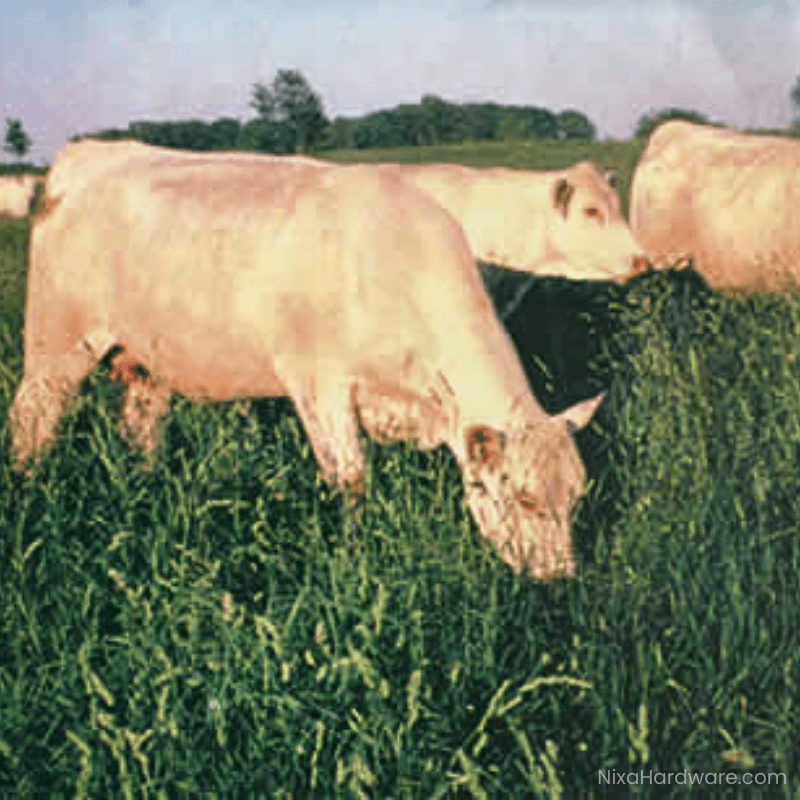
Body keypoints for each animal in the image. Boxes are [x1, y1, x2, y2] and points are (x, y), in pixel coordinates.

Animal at [11, 156, 605, 580]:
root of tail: (89, 159)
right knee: (32, 419)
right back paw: (28, 493)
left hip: (145, 363)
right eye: (526, 498)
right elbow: (350, 480)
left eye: (578, 496)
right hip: (57, 344)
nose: (560, 579)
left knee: (139, 428)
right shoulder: (319, 384)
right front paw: (355, 553)